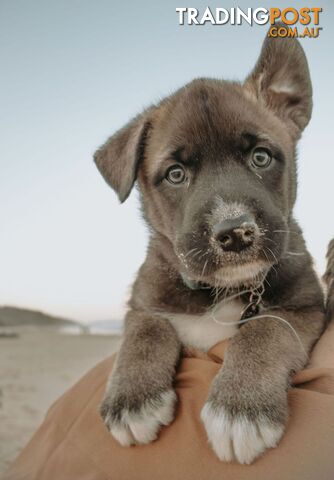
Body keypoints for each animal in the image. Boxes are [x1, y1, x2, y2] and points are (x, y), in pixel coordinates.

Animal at [93, 31, 326, 464]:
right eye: (175, 174)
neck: (221, 290)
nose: (234, 233)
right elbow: (145, 329)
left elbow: (265, 329)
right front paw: (133, 400)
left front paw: (240, 408)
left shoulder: (304, 306)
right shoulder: (143, 299)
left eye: (261, 157)